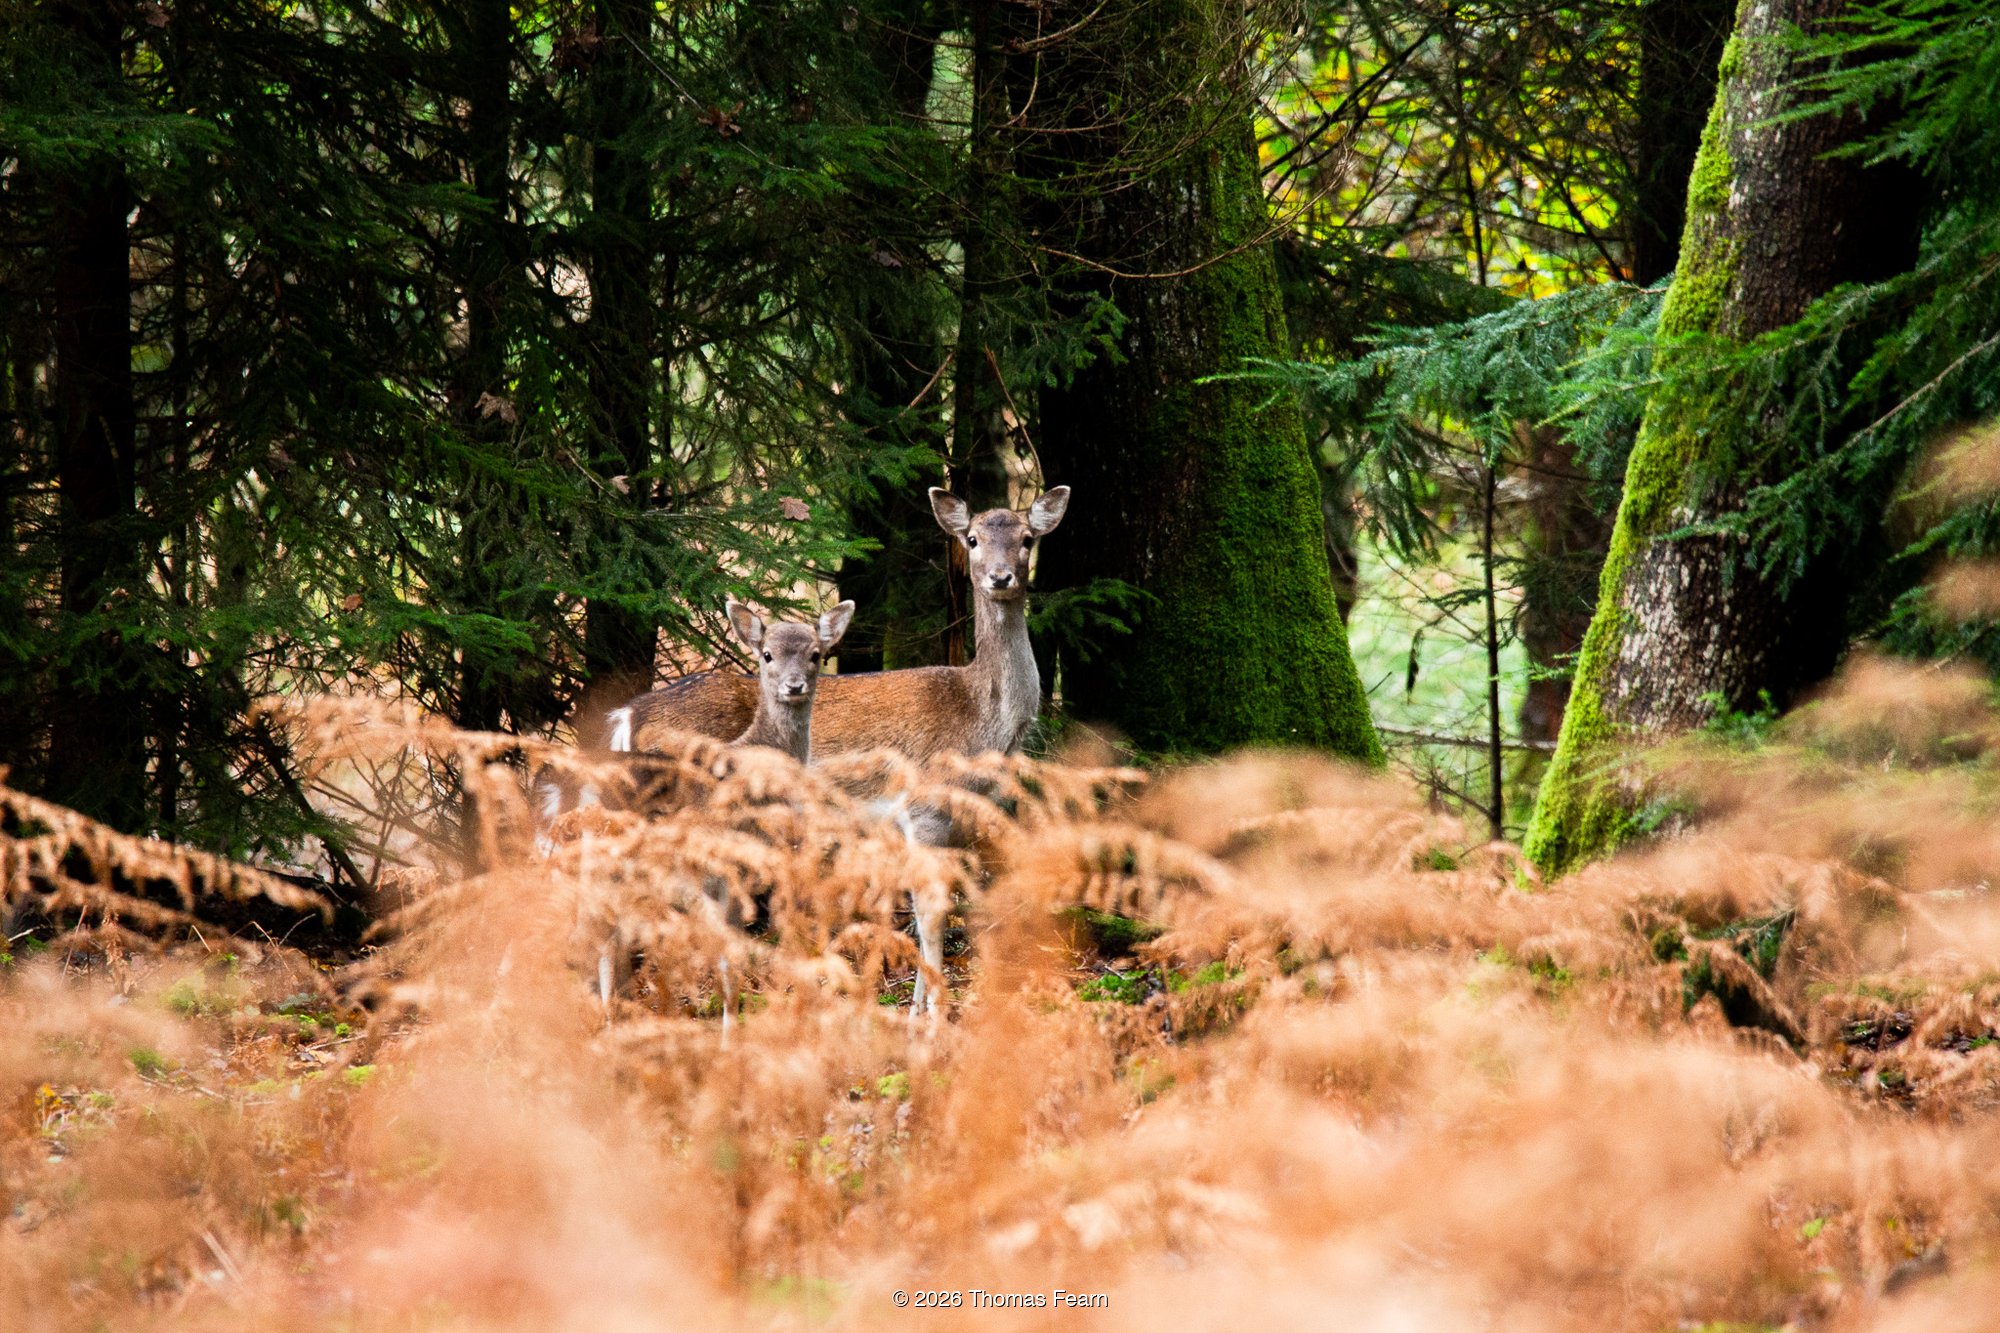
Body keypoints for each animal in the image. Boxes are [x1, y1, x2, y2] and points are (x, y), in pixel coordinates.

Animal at [604, 485, 1071, 1021]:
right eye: (972, 539)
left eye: (1028, 538)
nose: (1000, 577)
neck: (983, 721)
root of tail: (626, 715)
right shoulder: (925, 808)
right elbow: (932, 917)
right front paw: (936, 1021)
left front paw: (915, 1012)